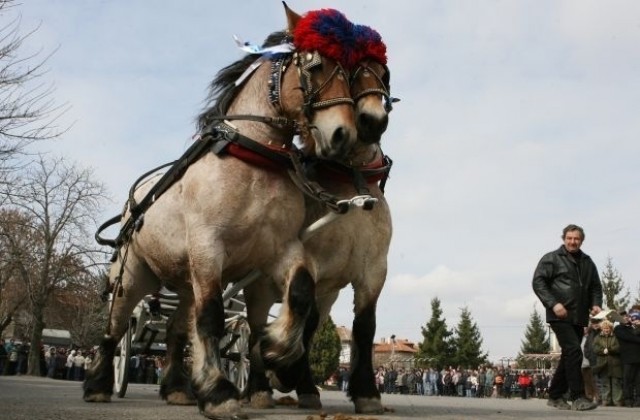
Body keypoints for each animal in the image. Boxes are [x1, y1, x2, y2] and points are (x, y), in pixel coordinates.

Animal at [82, 4, 358, 420]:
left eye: (348, 73)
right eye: (314, 65)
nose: (344, 135)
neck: (253, 158)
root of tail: (135, 201)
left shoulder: (280, 249)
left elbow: (300, 292)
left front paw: (275, 349)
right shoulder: (209, 247)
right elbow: (211, 317)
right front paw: (219, 392)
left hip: (185, 281)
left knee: (177, 329)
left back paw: (177, 388)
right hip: (133, 275)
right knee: (116, 327)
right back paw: (99, 383)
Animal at [242, 9, 396, 414]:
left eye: (384, 71)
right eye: (351, 70)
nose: (373, 120)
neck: (352, 181)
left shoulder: (371, 270)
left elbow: (363, 327)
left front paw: (366, 392)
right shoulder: (311, 263)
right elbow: (303, 317)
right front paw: (289, 372)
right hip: (259, 283)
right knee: (252, 325)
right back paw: (259, 385)